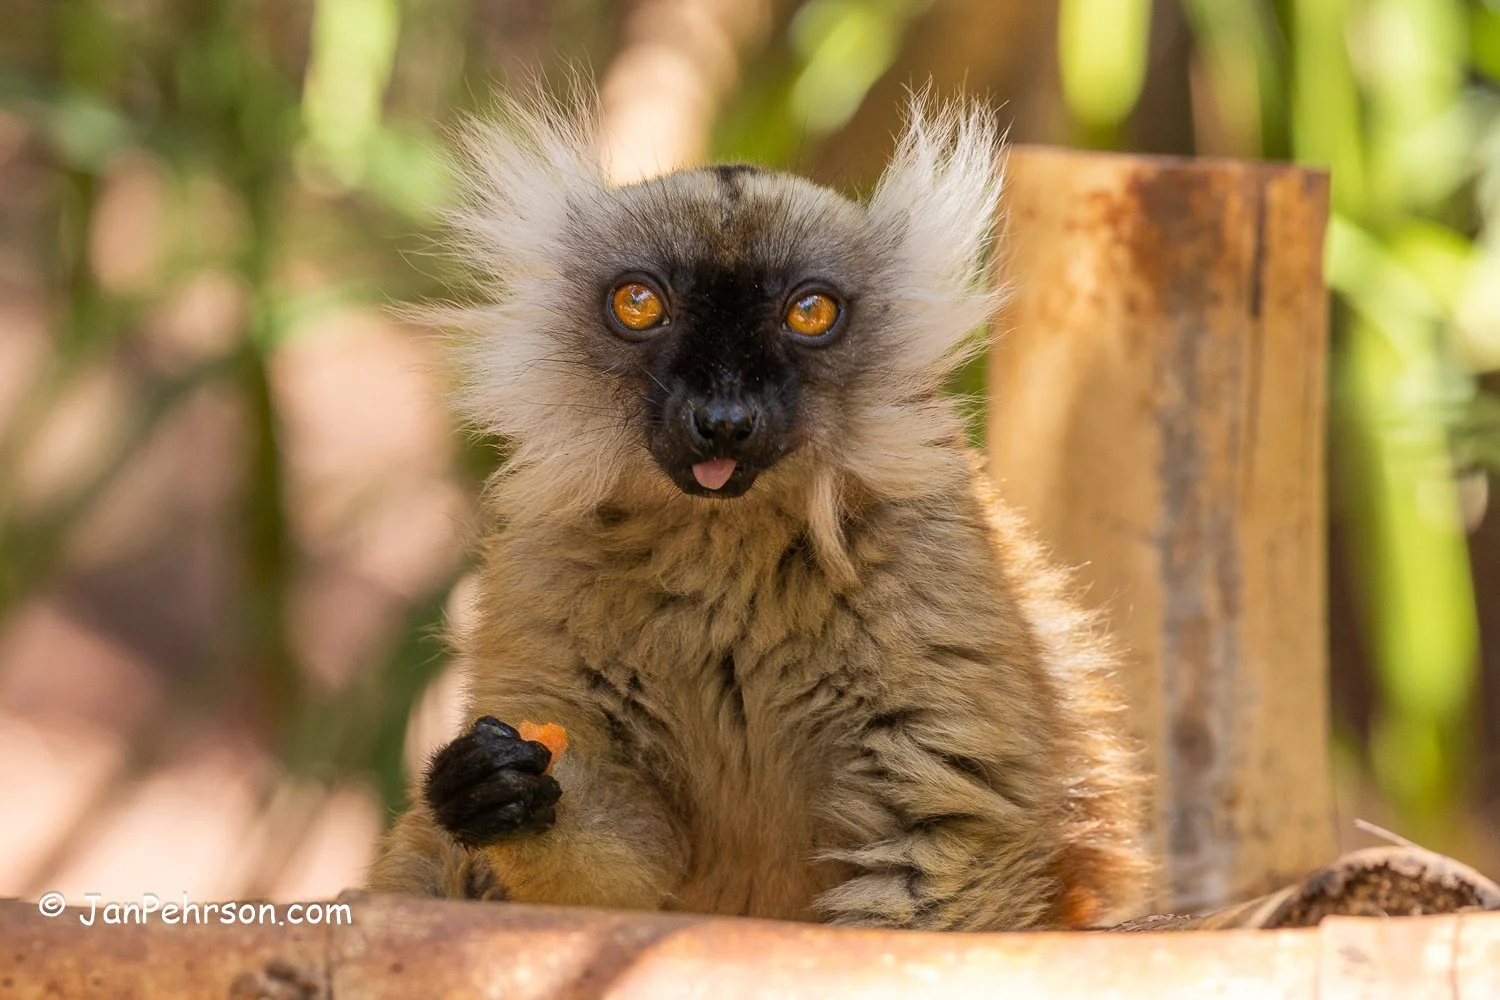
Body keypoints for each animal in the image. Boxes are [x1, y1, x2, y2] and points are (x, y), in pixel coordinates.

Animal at [363, 91, 1152, 930]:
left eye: (810, 312)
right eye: (638, 304)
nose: (723, 420)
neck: (722, 540)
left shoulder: (932, 567)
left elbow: (942, 840)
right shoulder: (544, 572)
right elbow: (622, 863)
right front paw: (502, 791)